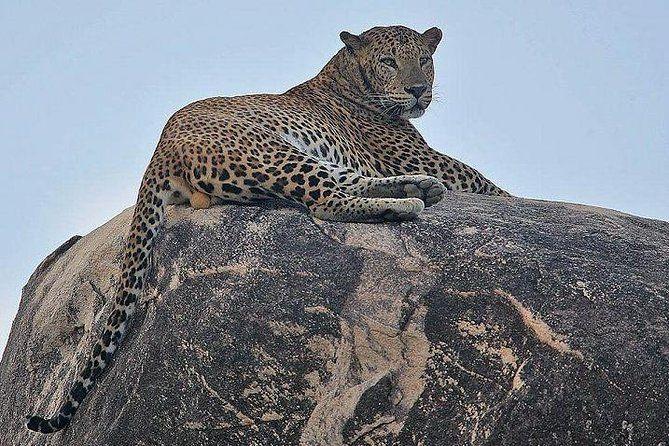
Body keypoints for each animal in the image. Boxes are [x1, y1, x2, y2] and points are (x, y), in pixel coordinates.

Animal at [26, 25, 508, 433]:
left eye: (425, 61)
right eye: (390, 61)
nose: (418, 90)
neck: (346, 76)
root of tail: (160, 150)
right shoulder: (430, 159)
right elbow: (489, 183)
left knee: (346, 182)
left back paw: (418, 189)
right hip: (276, 152)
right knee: (326, 201)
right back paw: (408, 201)